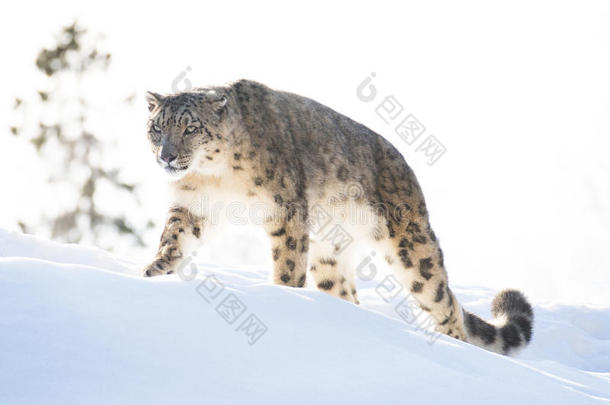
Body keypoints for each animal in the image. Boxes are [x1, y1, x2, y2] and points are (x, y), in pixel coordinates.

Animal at [140, 78, 528, 354]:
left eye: (190, 128)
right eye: (157, 128)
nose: (167, 156)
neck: (214, 176)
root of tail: (404, 164)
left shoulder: (285, 210)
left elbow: (287, 264)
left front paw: (283, 294)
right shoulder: (193, 205)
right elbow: (174, 238)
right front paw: (156, 271)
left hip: (413, 248)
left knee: (444, 302)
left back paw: (457, 345)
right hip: (329, 258)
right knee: (347, 294)